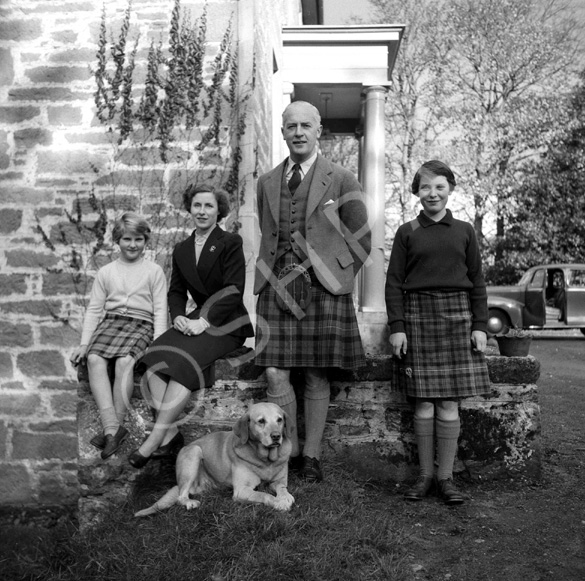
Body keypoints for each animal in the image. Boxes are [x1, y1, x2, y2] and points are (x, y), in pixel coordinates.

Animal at [135, 402, 294, 516]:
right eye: (261, 421)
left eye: (279, 420)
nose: (276, 436)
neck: (265, 460)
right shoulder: (241, 490)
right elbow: (264, 495)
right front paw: (279, 502)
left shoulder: (278, 481)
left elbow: (282, 488)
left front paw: (285, 496)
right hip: (194, 452)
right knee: (181, 497)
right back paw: (189, 502)